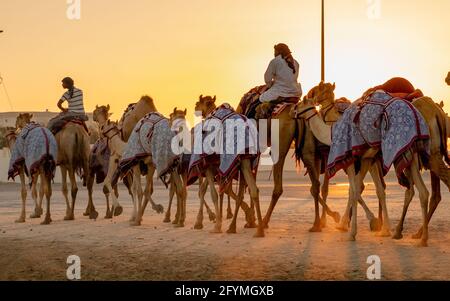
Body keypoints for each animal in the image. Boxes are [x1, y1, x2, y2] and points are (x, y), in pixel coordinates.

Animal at [294, 95, 430, 245]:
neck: (331, 133)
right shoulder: (367, 158)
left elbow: (354, 191)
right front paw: (383, 229)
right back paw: (421, 239)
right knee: (423, 191)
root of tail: (415, 112)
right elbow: (373, 190)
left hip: (400, 145)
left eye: (301, 103)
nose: (293, 110)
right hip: (411, 151)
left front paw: (351, 231)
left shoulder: (350, 158)